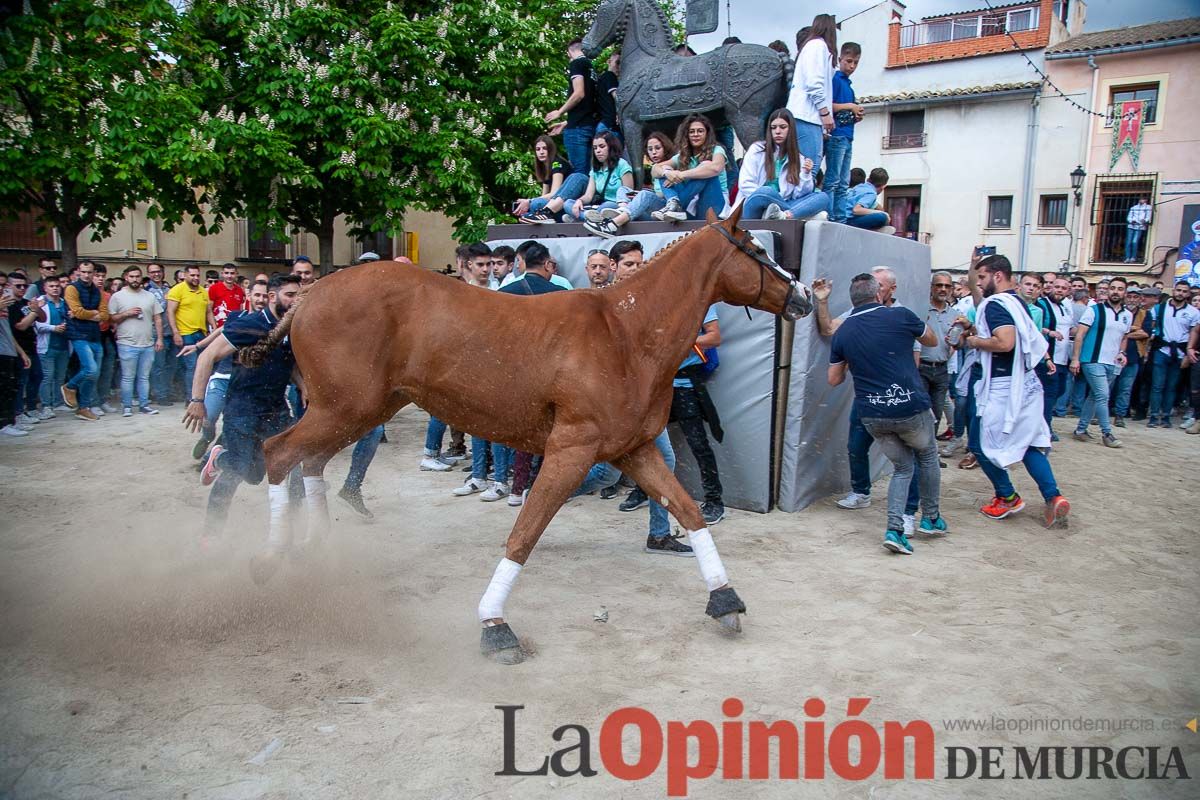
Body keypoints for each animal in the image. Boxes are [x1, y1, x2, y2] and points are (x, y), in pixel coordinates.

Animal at [238, 206, 811, 662]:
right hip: (342, 408)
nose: (805, 295)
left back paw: (317, 550)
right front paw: (495, 625)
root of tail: (309, 296)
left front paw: (725, 600)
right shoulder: (570, 450)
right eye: (758, 248)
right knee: (278, 453)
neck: (624, 335)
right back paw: (268, 559)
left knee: (310, 462)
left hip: (359, 410)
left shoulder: (634, 450)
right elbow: (525, 533)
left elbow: (687, 510)